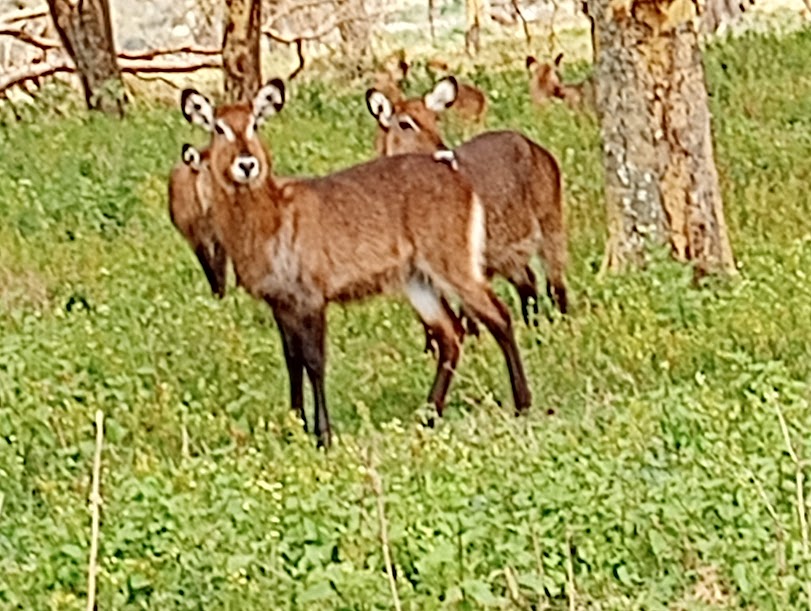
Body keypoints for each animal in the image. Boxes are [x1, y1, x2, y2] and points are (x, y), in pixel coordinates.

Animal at [178, 78, 533, 449]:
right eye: (219, 128)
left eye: (254, 124)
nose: (247, 164)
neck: (270, 218)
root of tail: (460, 180)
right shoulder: (281, 303)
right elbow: (292, 362)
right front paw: (294, 425)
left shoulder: (311, 298)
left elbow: (314, 361)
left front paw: (323, 434)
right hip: (417, 279)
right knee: (451, 334)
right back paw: (428, 415)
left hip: (453, 264)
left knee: (499, 317)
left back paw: (521, 404)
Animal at [365, 76, 568, 337]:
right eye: (405, 123)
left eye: (436, 118)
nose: (443, 151)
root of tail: (533, 146)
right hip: (508, 255)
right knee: (529, 283)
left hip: (550, 227)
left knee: (556, 283)